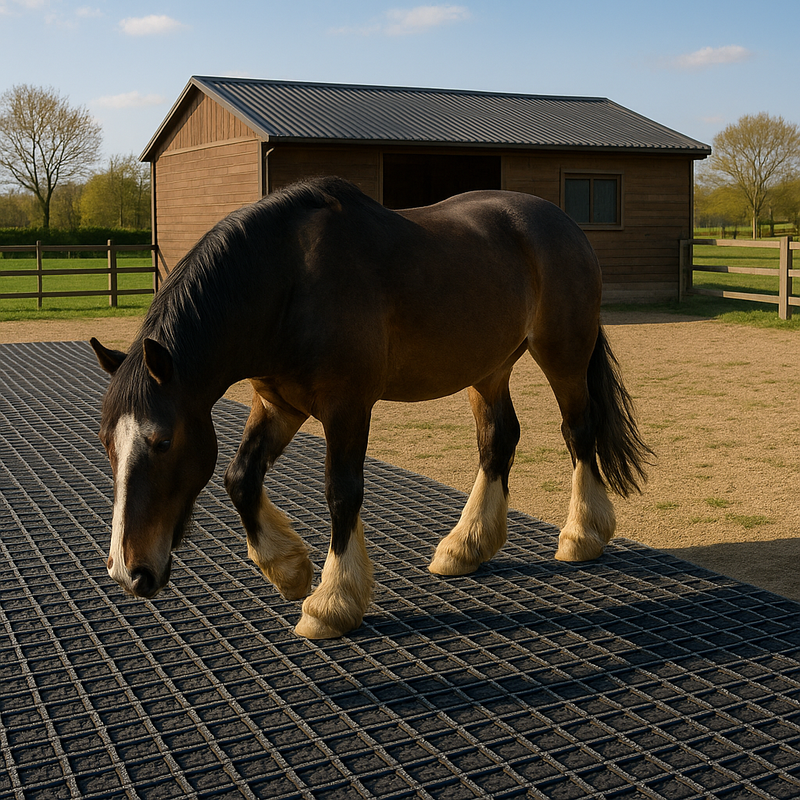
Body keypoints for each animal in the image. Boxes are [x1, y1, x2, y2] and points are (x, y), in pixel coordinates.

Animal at [90, 176, 652, 639]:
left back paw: (582, 535)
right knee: (498, 440)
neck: (288, 282)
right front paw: (289, 569)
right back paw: (465, 546)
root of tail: (562, 223)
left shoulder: (347, 407)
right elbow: (239, 478)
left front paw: (332, 603)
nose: (128, 571)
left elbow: (342, 493)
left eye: (163, 441)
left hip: (563, 355)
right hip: (488, 369)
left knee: (578, 431)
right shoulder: (278, 404)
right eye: (107, 445)